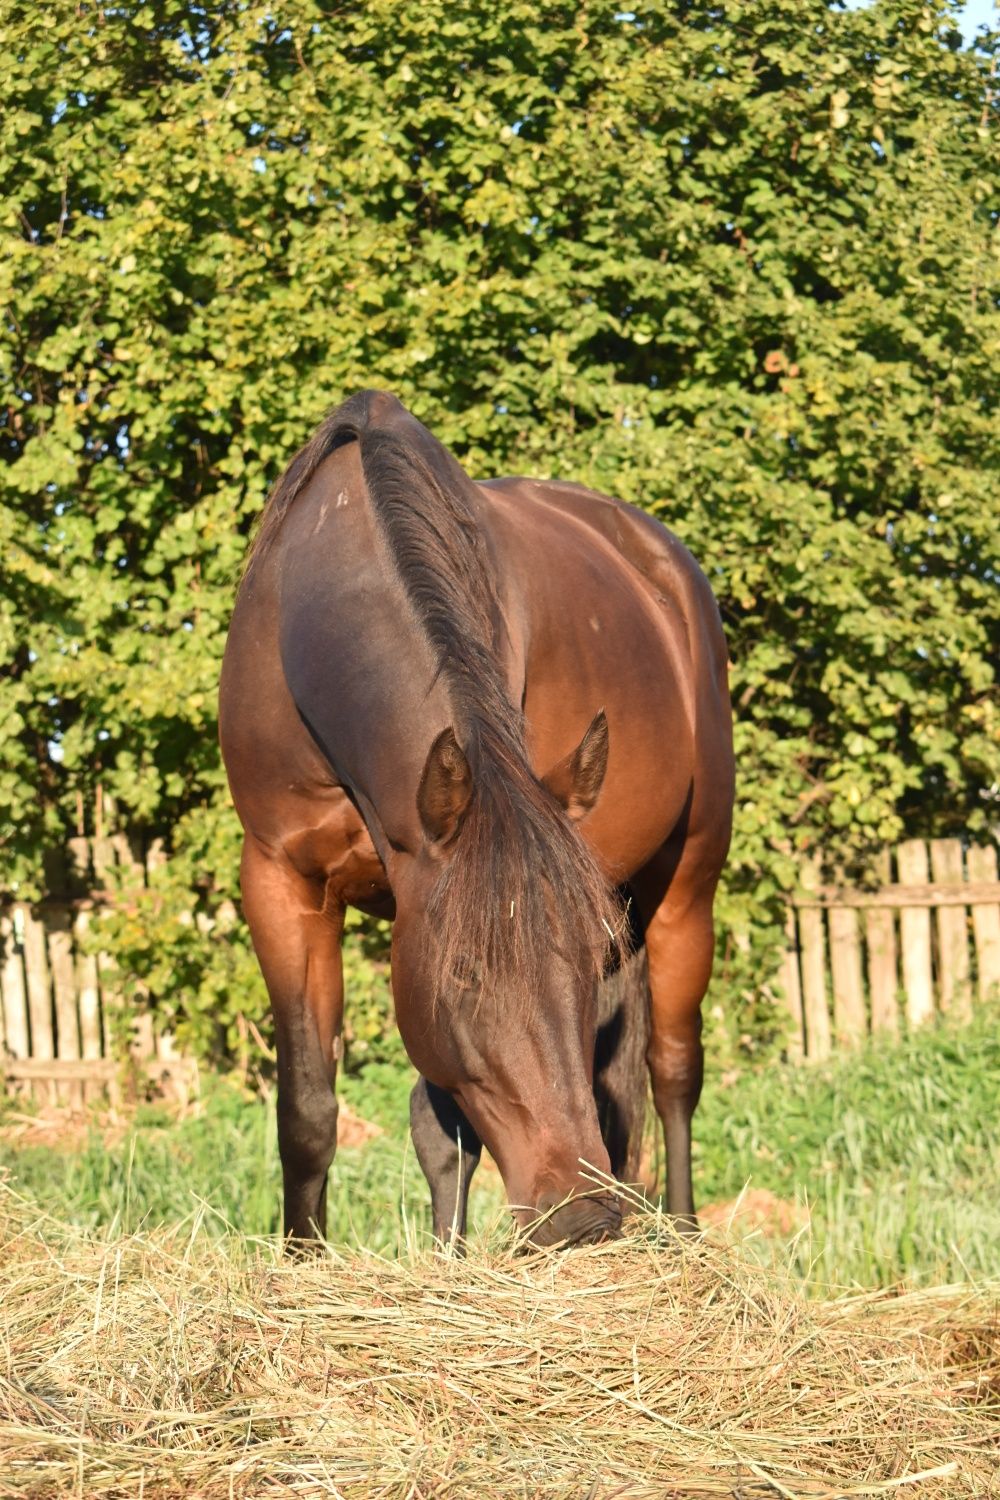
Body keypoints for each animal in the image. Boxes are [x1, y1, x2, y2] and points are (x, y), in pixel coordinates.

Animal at [220, 393, 734, 1248]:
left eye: (582, 965)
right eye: (463, 972)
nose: (579, 1216)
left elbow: (448, 1125)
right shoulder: (282, 881)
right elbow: (312, 1112)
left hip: (688, 883)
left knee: (671, 1072)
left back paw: (683, 1236)